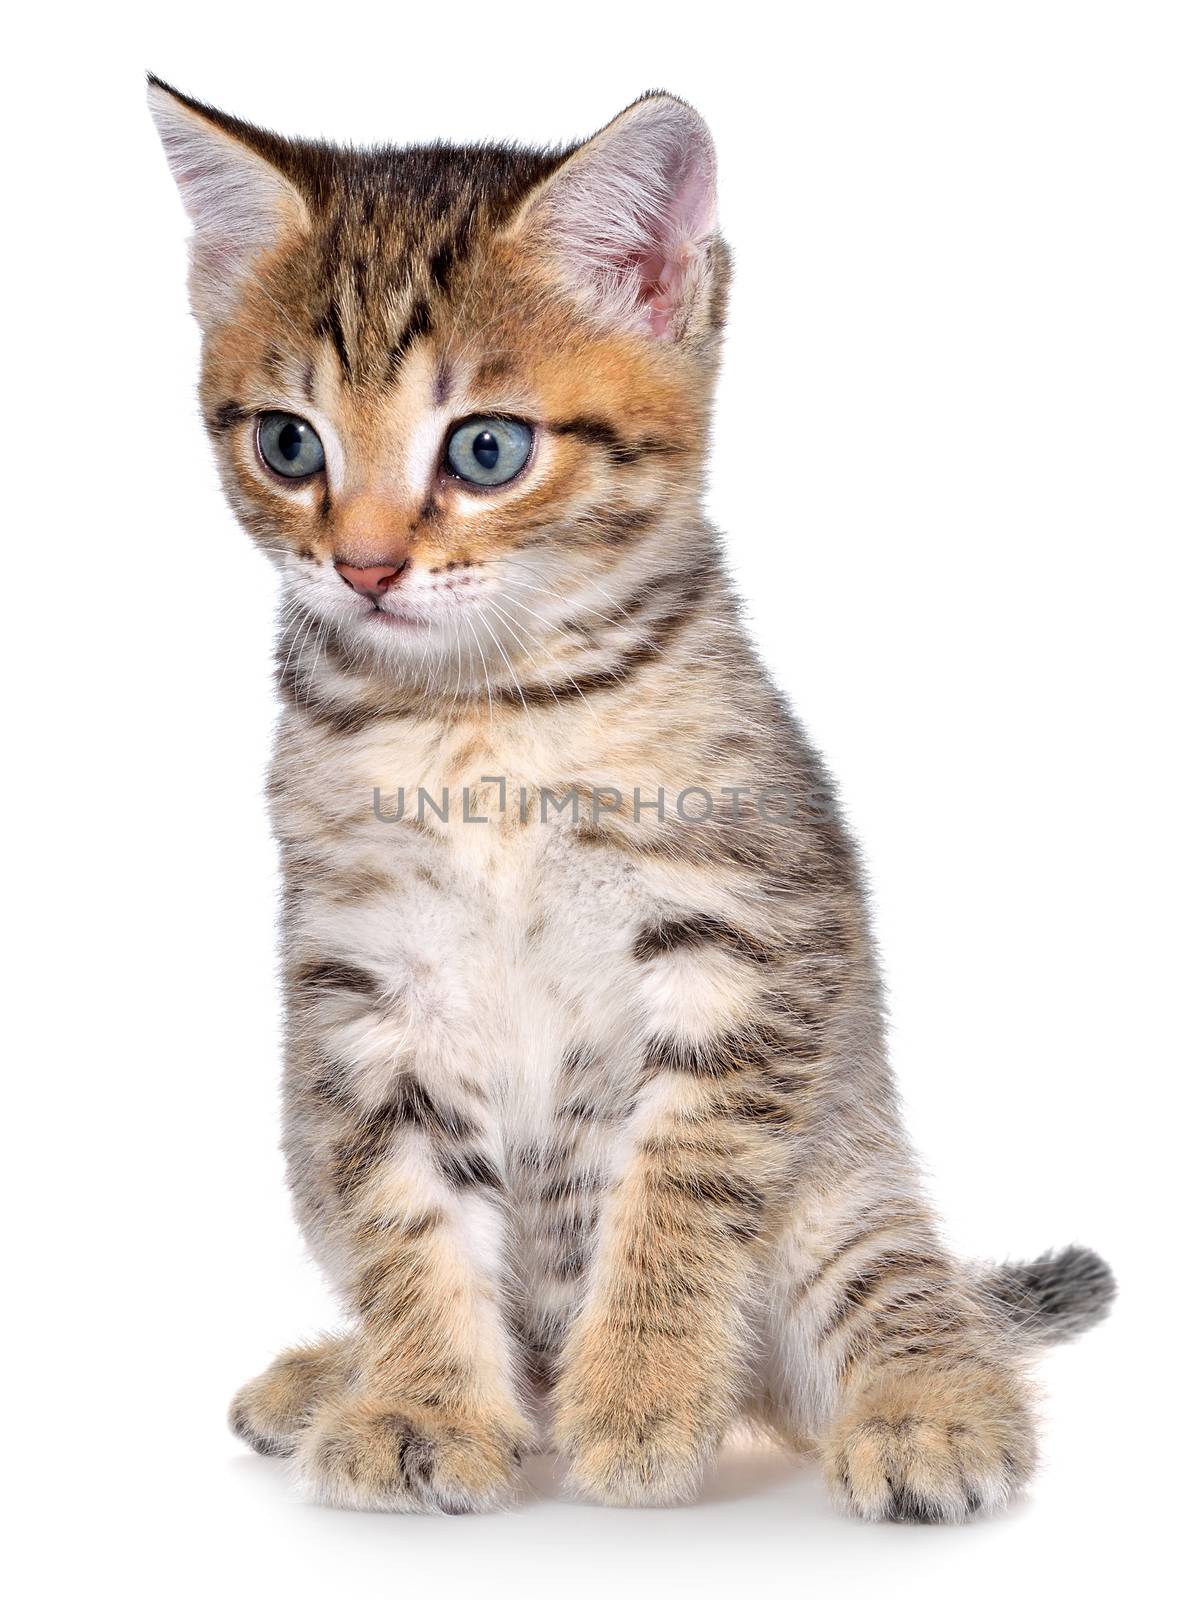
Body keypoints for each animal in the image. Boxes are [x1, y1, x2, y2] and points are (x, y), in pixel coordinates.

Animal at [150, 75, 1120, 1516]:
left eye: (485, 449)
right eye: (287, 443)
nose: (365, 566)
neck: (477, 721)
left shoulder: (748, 948)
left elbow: (676, 1191)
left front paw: (646, 1394)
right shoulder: (361, 990)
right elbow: (405, 1225)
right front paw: (423, 1405)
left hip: (840, 1187)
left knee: (907, 1290)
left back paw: (929, 1410)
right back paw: (349, 1378)